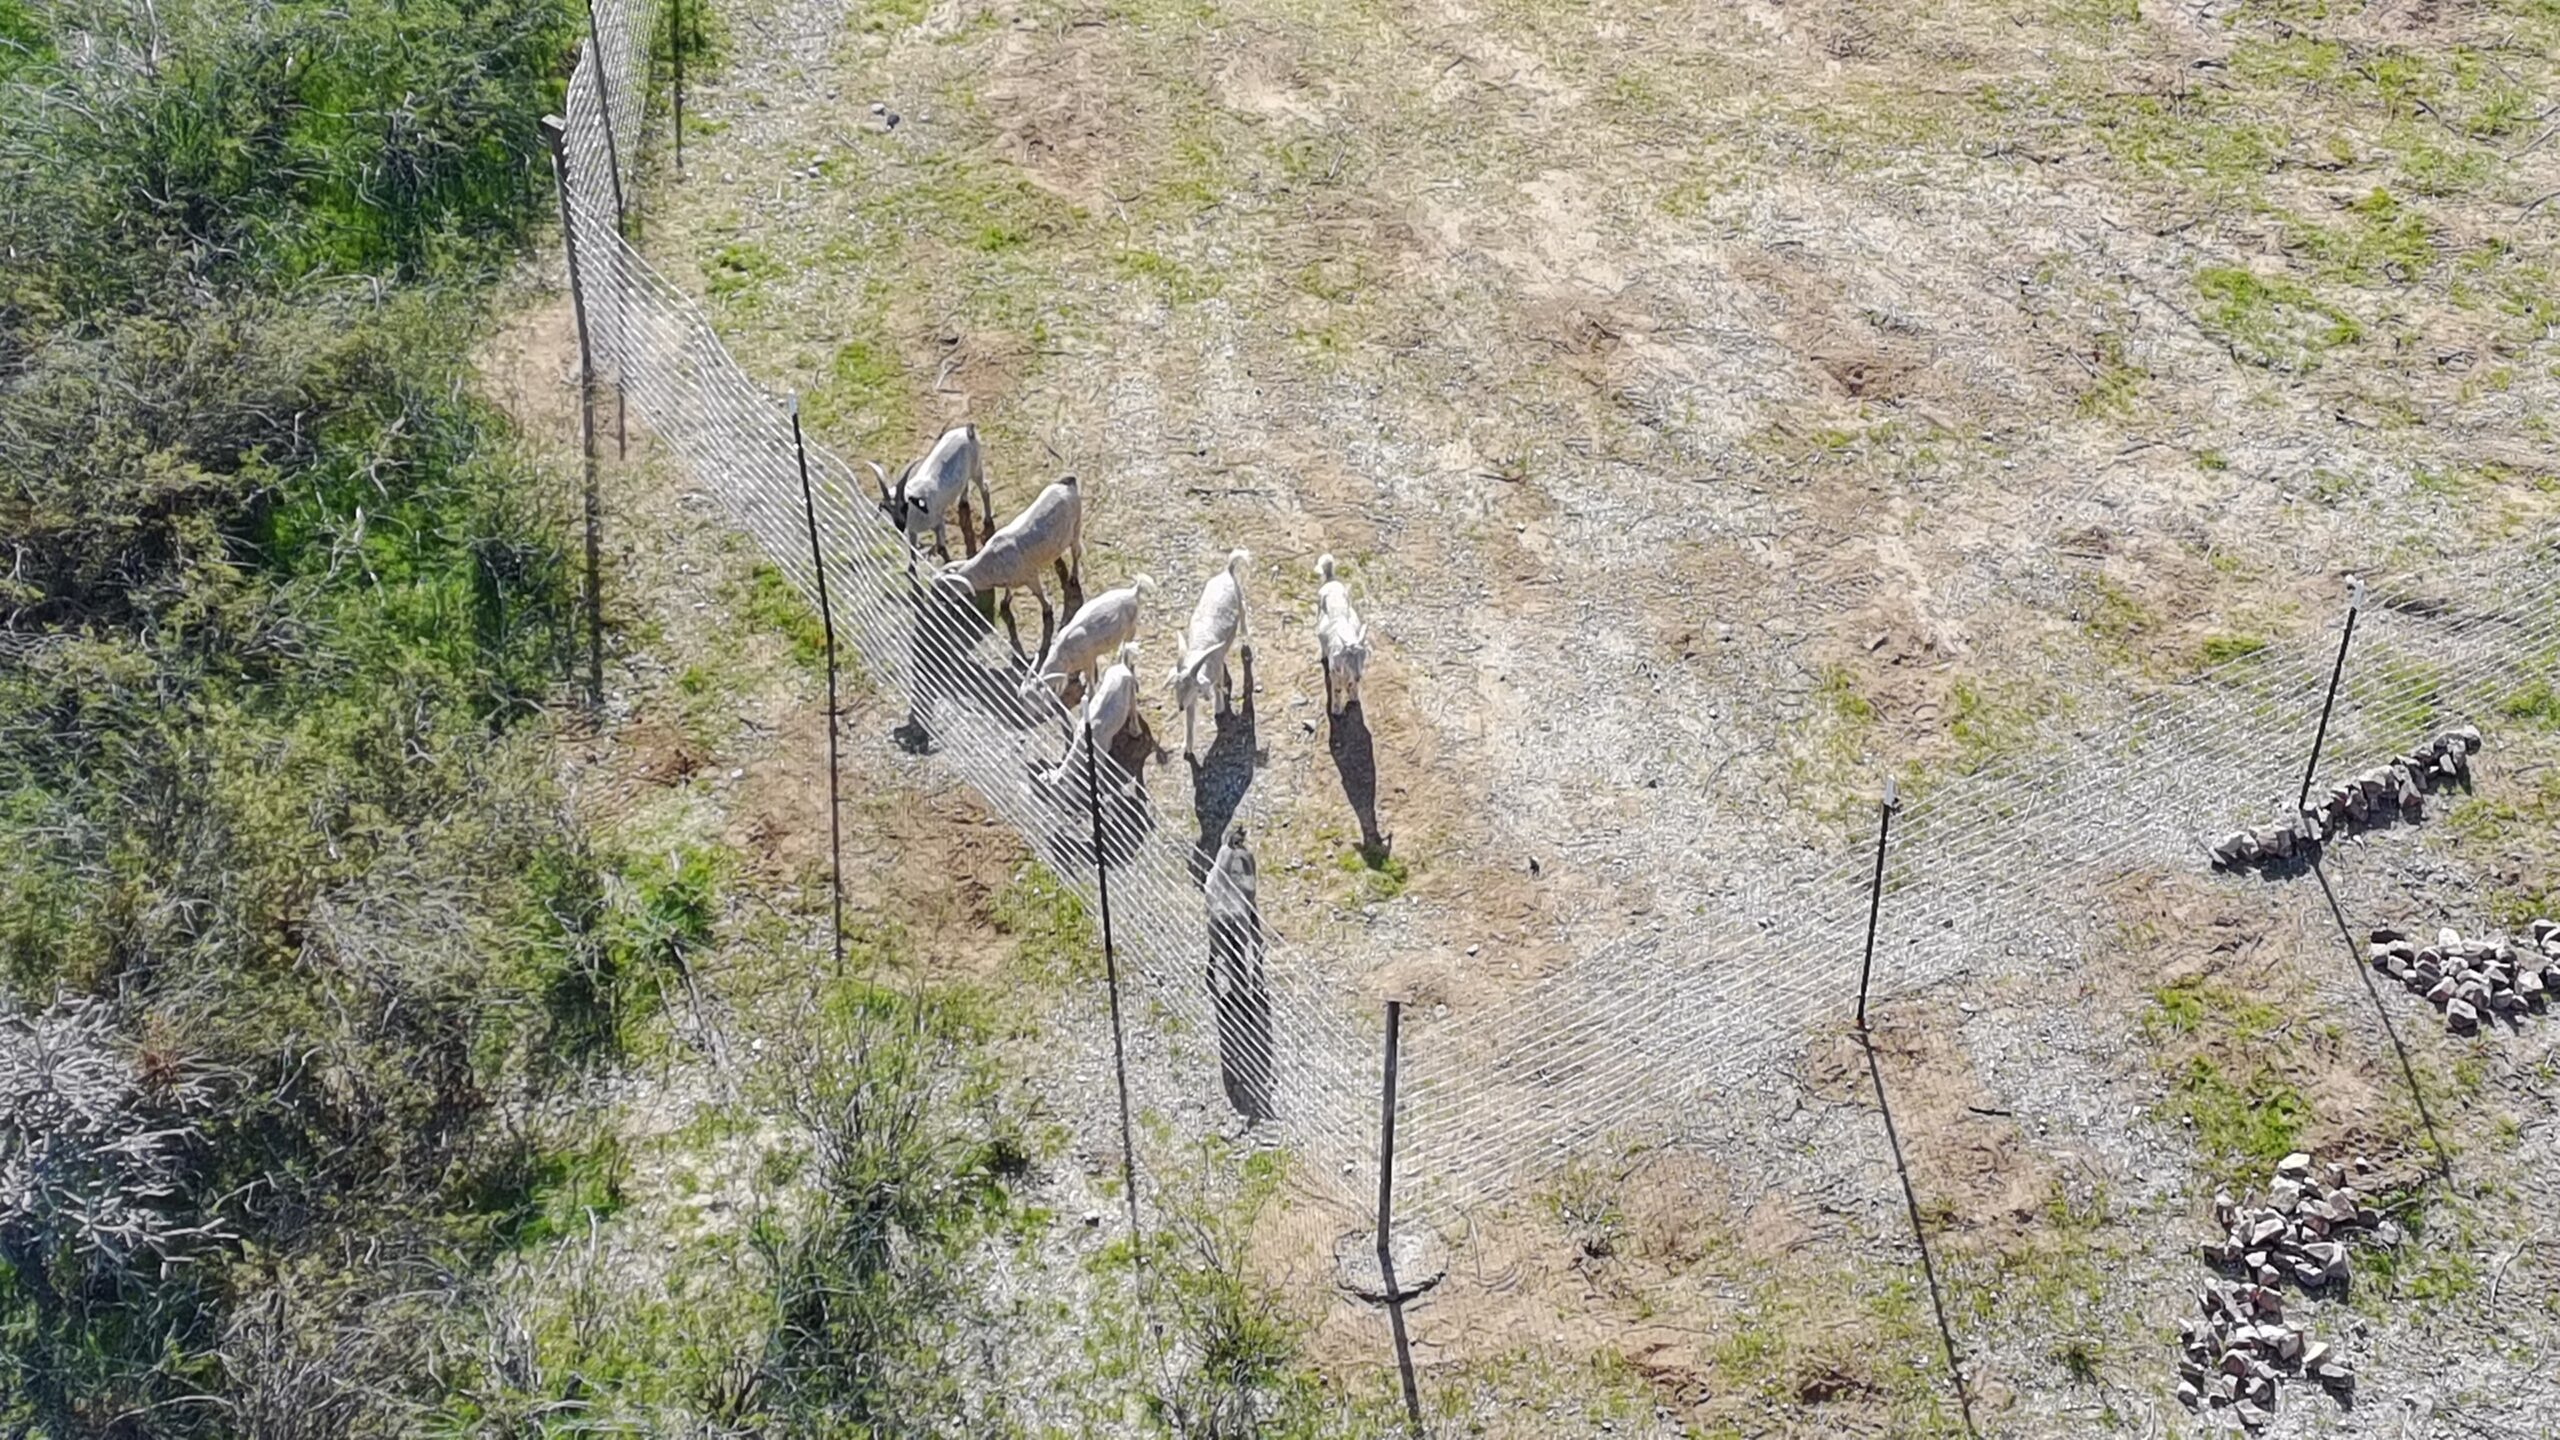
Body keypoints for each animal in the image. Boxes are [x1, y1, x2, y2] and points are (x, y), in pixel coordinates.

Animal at [868, 425, 994, 561]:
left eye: (904, 505)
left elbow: (941, 549)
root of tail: (967, 432)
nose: (900, 526)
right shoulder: (912, 532)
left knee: (985, 489)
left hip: (976, 468)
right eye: (887, 508)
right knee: (964, 484)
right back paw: (963, 501)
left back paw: (987, 519)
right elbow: (913, 553)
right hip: (965, 473)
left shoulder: (939, 523)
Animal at [925, 473, 1082, 658]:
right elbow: (1008, 592)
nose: (930, 605)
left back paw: (1073, 577)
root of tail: (1067, 482)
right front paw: (1005, 602)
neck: (990, 568)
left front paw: (1047, 610)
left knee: (1076, 552)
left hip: (1076, 526)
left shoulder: (1030, 576)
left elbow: (1038, 594)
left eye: (939, 588)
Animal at [1022, 575, 1154, 705]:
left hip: (1131, 629)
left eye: (1035, 699)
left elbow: (1089, 677)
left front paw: (1090, 694)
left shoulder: (1088, 660)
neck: (1063, 653)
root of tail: (1133, 593)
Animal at [1169, 549, 1250, 760]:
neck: (1200, 650)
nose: (1179, 707)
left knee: (1243, 611)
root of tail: (1227, 571)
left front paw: (1219, 709)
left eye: (1192, 686)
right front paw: (1187, 748)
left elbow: (1219, 686)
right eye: (1177, 687)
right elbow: (1189, 721)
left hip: (1239, 597)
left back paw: (1245, 638)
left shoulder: (1216, 668)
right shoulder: (1191, 701)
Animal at [1314, 553, 1369, 717]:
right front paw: (1336, 711)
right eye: (1348, 658)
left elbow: (1351, 685)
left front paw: (1354, 698)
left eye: (1363, 656)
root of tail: (1331, 579)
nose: (1358, 676)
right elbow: (1337, 691)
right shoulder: (1335, 675)